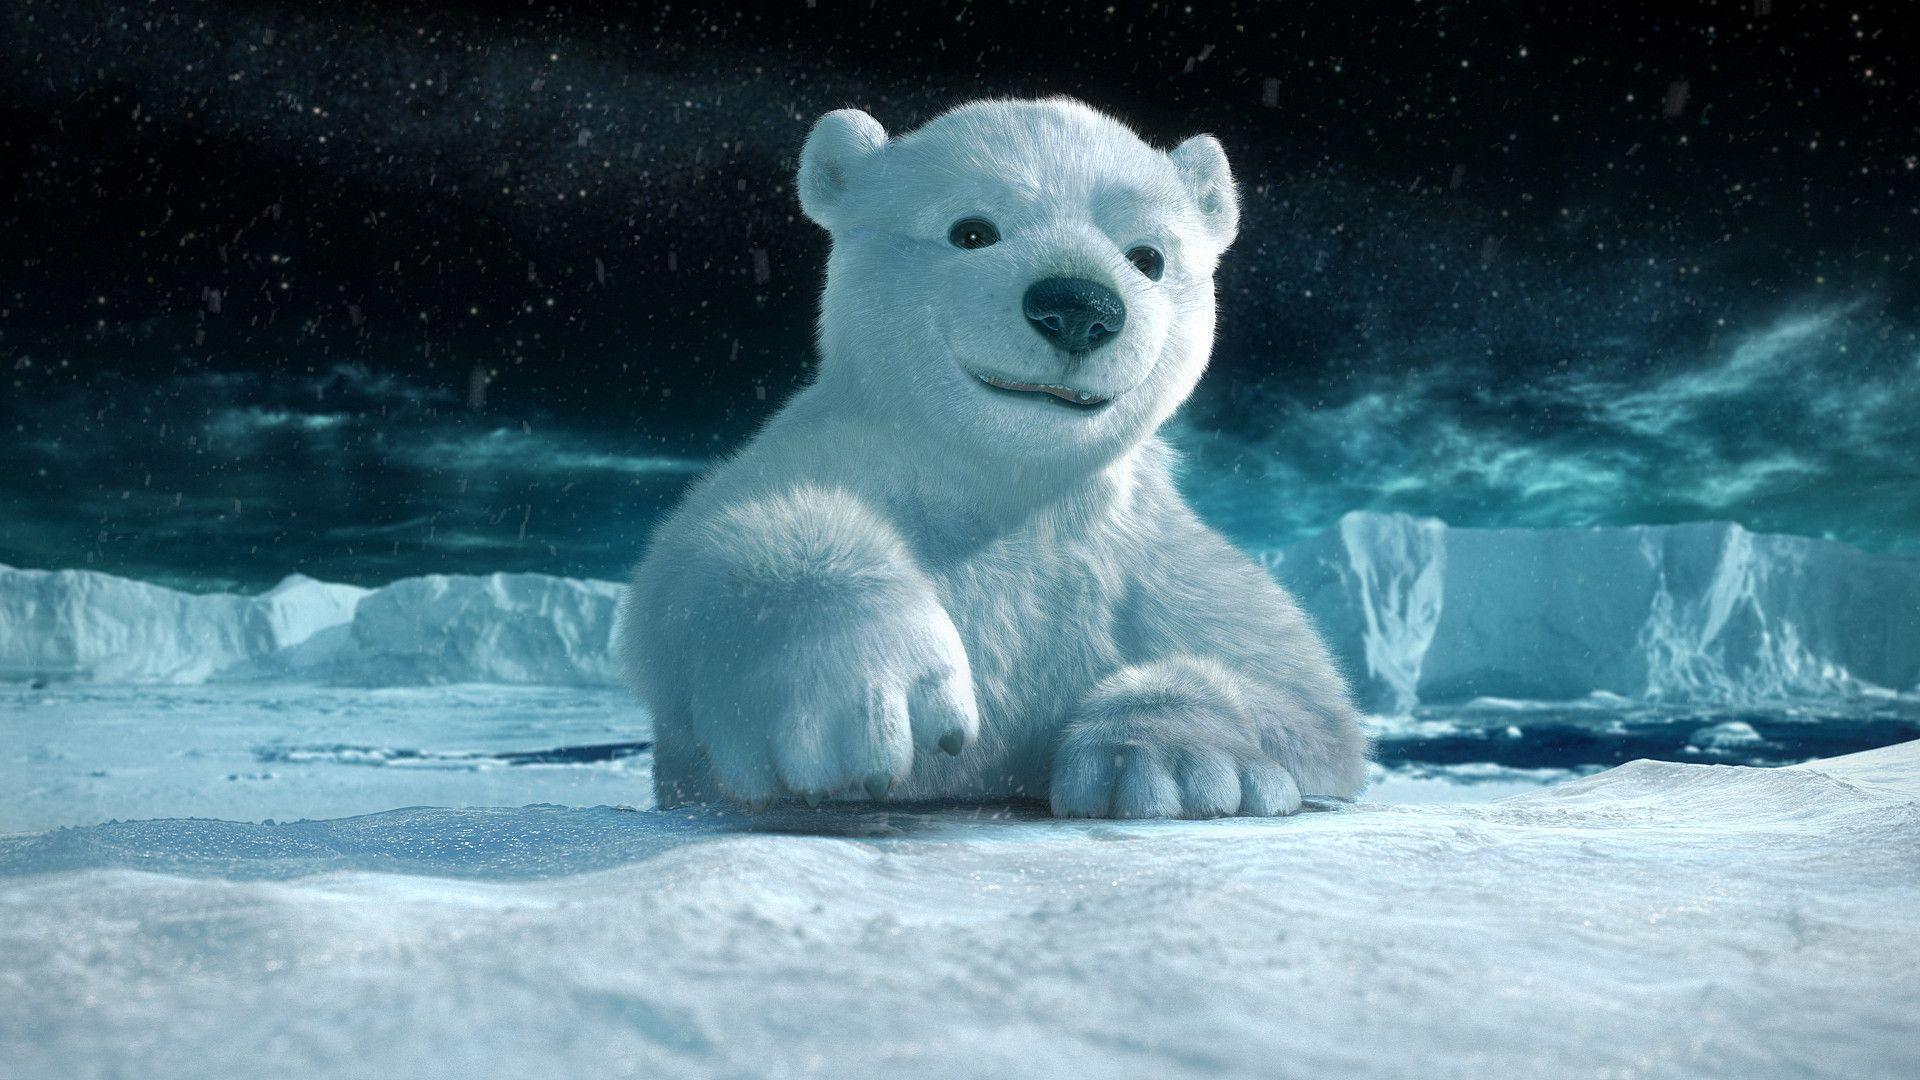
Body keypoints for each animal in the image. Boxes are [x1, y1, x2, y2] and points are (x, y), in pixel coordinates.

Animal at [618, 97, 1369, 818]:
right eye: (972, 230)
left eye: (1148, 256)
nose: (1078, 306)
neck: (1008, 491)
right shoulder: (837, 457)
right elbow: (692, 565)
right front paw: (858, 693)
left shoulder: (1147, 556)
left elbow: (1302, 696)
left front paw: (1173, 764)